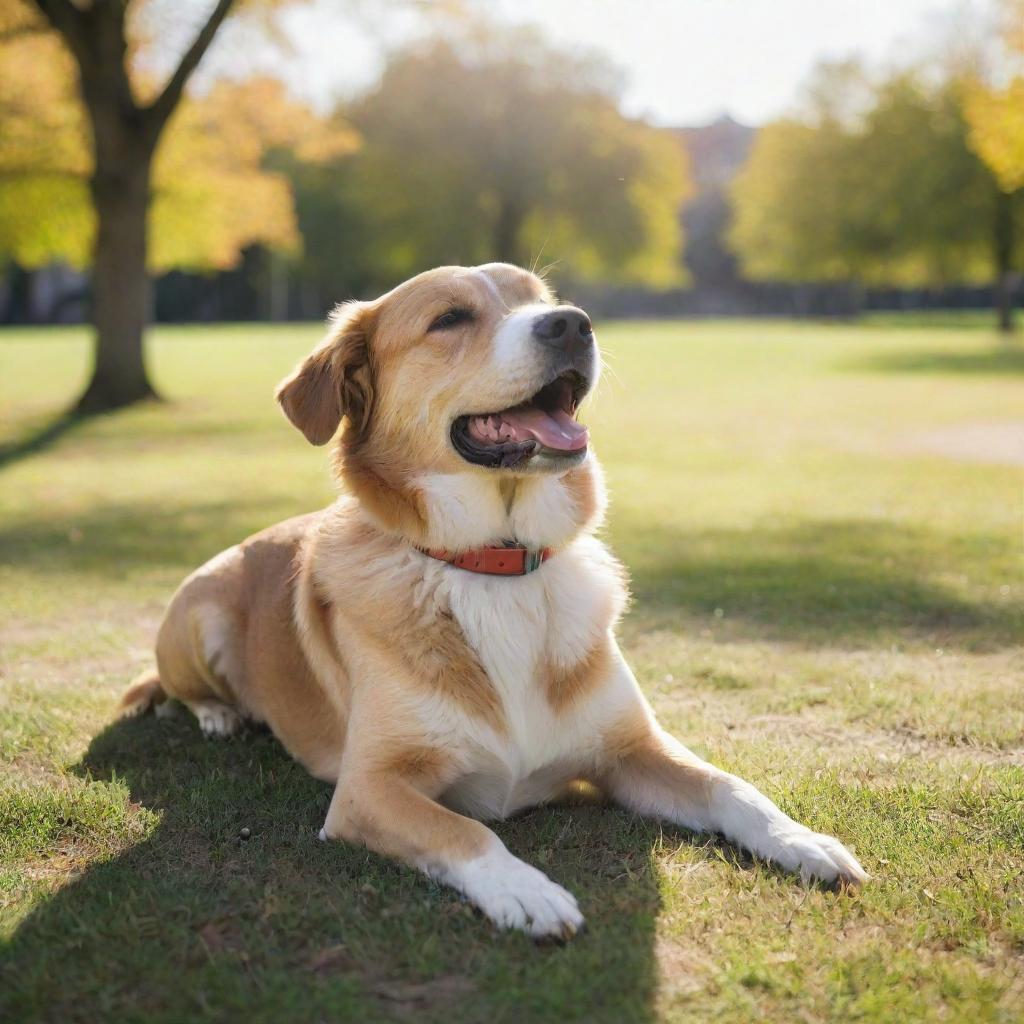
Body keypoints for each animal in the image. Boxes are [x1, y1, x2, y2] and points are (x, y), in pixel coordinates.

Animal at [123, 262, 868, 937]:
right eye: (450, 318)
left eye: (543, 298)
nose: (573, 324)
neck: (497, 565)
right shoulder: (368, 790)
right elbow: (465, 832)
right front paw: (526, 890)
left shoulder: (634, 751)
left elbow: (729, 785)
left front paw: (801, 840)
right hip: (203, 612)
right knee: (179, 686)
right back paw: (220, 713)